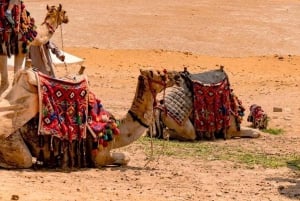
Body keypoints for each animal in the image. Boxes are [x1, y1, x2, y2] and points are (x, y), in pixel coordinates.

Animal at [0, 67, 179, 168]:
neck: (115, 130)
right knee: (25, 159)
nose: (177, 75)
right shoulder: (99, 155)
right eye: (156, 72)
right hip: (11, 138)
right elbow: (125, 157)